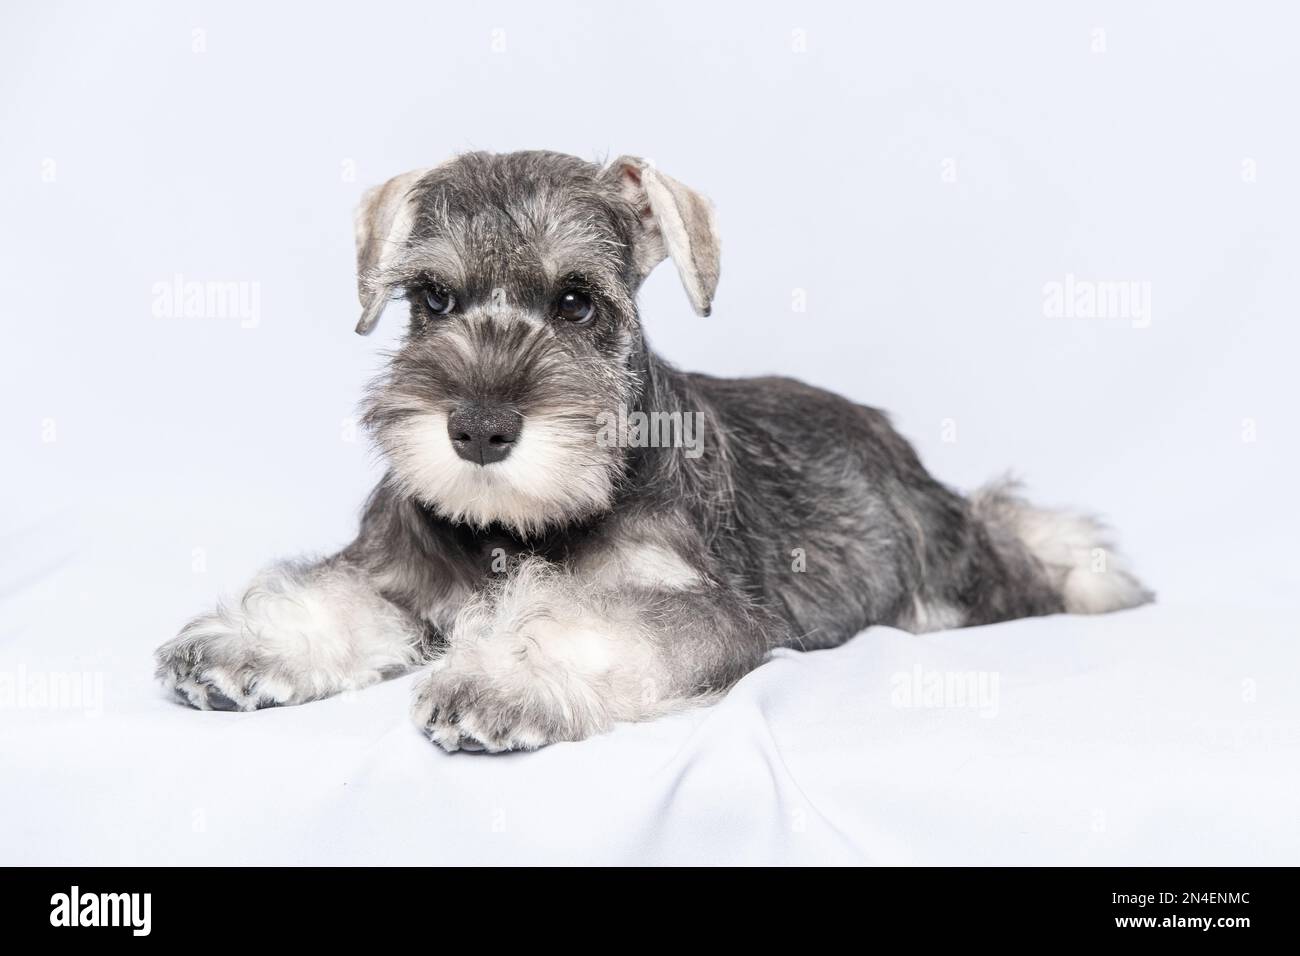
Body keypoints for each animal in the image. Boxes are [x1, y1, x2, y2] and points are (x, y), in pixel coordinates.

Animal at [152, 149, 1149, 749]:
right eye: (431, 298)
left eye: (576, 302)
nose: (479, 428)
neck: (520, 526)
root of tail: (890, 438)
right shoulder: (393, 570)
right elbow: (334, 592)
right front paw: (248, 643)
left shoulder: (710, 614)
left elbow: (589, 623)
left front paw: (502, 683)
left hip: (950, 571)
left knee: (1015, 540)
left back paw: (1096, 569)